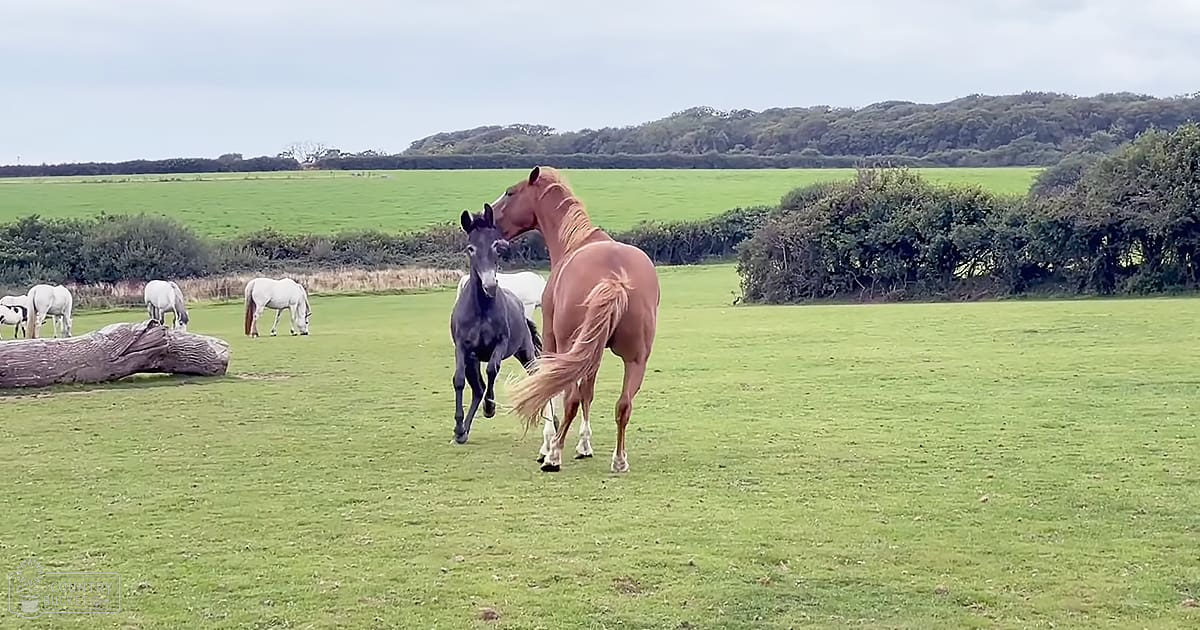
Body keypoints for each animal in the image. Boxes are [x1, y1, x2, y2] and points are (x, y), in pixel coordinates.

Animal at [450, 206, 554, 445]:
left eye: (495, 245)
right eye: (470, 248)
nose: (489, 285)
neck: (481, 309)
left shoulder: (500, 343)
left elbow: (492, 369)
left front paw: (490, 408)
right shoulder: (462, 348)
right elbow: (459, 380)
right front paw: (459, 427)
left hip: (525, 353)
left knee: (536, 378)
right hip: (472, 360)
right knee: (477, 389)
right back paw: (464, 431)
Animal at [486, 166, 661, 473]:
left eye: (510, 192)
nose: (484, 216)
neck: (576, 242)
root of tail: (615, 278)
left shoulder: (552, 342)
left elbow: (552, 390)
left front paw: (548, 446)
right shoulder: (595, 353)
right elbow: (589, 393)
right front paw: (584, 445)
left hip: (570, 346)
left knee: (570, 399)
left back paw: (554, 455)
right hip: (635, 359)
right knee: (623, 405)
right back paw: (619, 459)